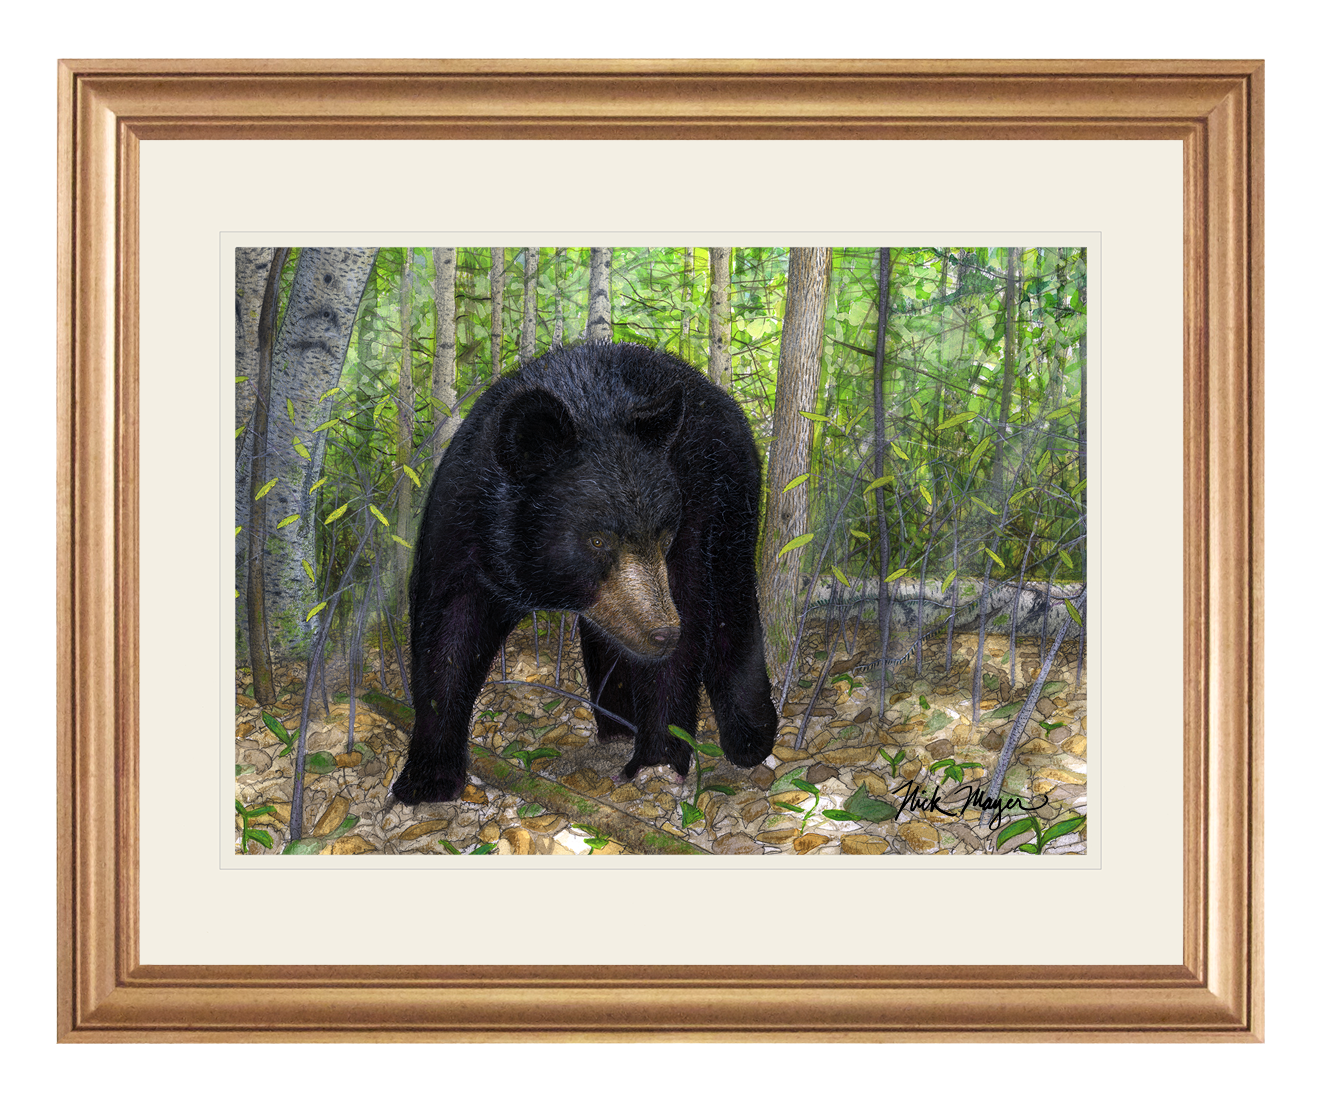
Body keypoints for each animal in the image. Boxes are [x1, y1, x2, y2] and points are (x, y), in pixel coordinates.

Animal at [391, 341, 779, 806]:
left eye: (664, 532)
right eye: (597, 540)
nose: (662, 633)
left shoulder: (690, 516)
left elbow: (690, 613)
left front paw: (657, 760)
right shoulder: (463, 531)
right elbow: (446, 635)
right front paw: (426, 778)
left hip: (732, 498)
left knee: (731, 598)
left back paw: (749, 735)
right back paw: (617, 725)